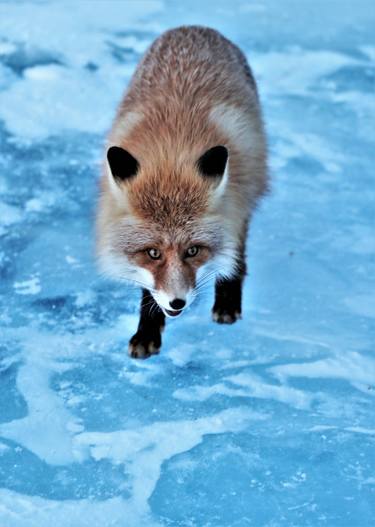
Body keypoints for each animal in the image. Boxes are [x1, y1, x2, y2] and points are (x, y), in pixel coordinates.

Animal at [96, 26, 268, 360]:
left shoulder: (238, 201)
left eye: (193, 251)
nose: (177, 303)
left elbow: (232, 253)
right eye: (153, 253)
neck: (170, 158)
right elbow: (148, 289)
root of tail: (194, 28)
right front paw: (148, 329)